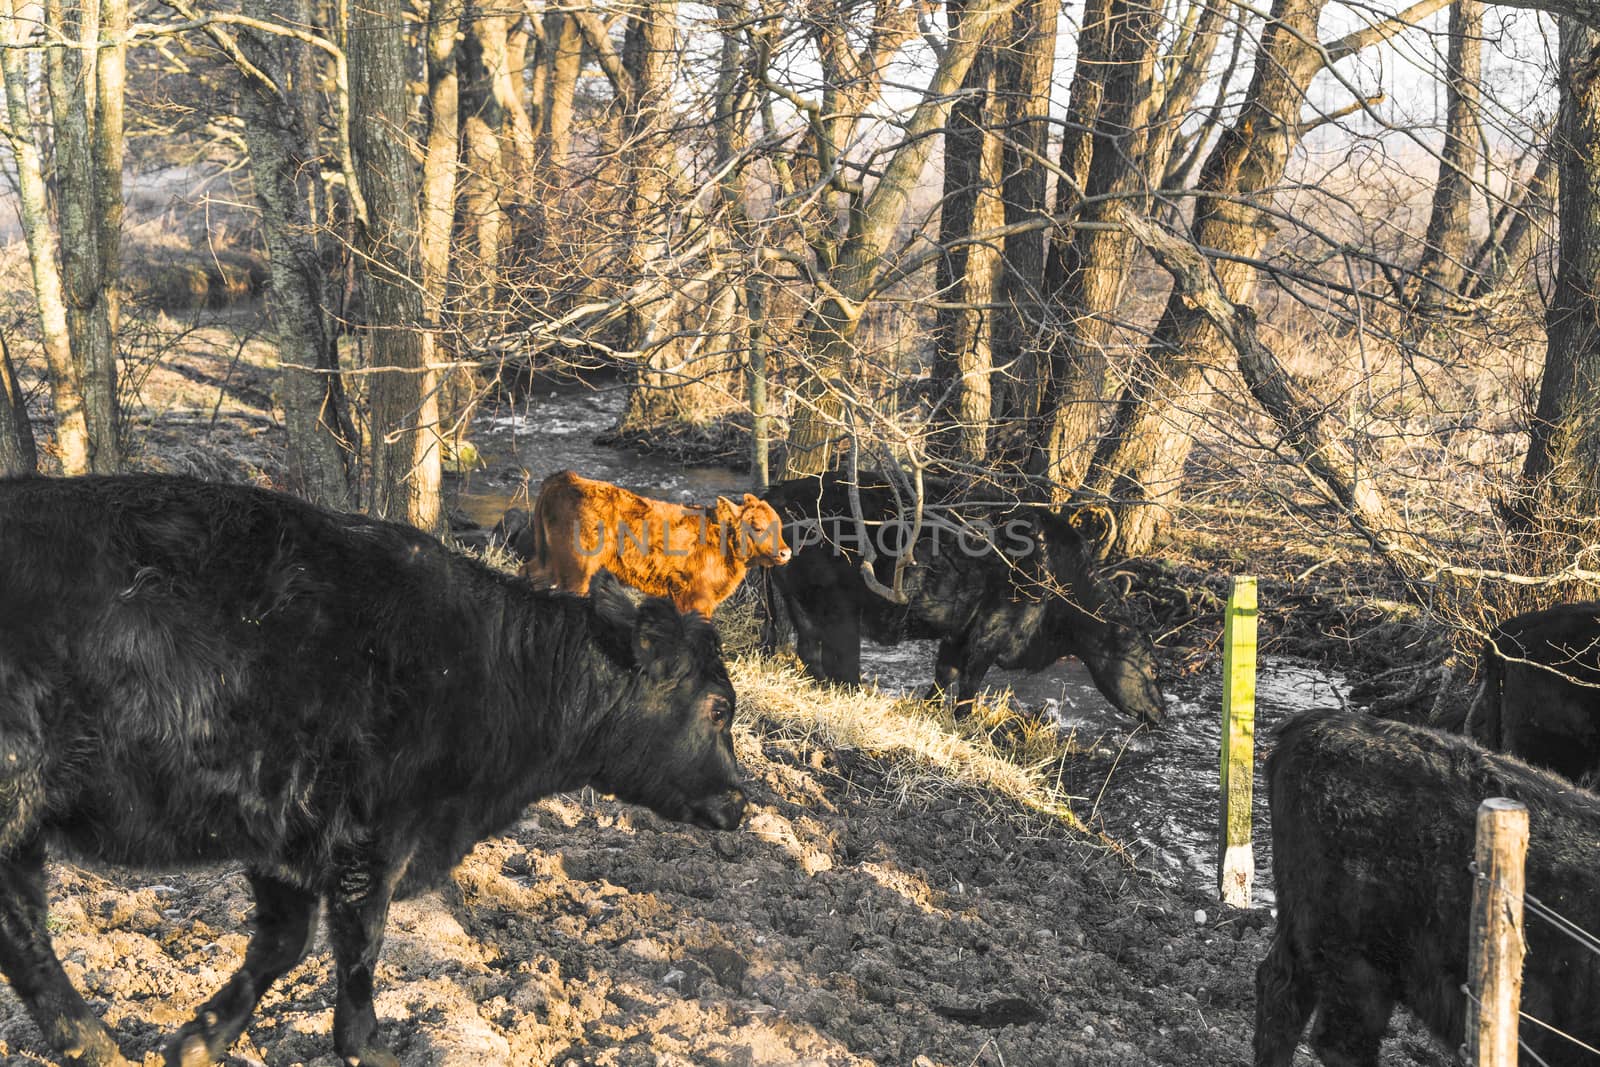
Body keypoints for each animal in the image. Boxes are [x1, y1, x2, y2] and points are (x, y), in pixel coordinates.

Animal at [0, 476, 742, 1067]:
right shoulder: (372, 835)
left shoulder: (288, 835)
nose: (741, 800)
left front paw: (200, 1038)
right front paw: (367, 1047)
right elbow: (358, 946)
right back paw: (92, 1046)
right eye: (718, 707)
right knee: (24, 932)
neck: (494, 667)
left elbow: (285, 941)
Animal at [521, 473, 790, 620]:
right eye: (757, 527)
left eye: (779, 525)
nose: (785, 552)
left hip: (550, 562)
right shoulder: (696, 598)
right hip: (576, 571)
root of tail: (565, 479)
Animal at [761, 476, 1164, 726]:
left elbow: (945, 674)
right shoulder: (990, 634)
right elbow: (969, 687)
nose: (1161, 714)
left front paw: (929, 710)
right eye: (1151, 667)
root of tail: (775, 493)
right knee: (839, 664)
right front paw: (962, 724)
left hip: (799, 602)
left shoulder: (959, 631)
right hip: (837, 610)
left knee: (808, 650)